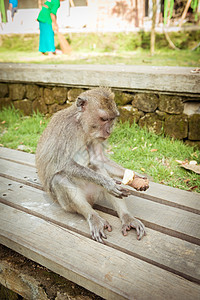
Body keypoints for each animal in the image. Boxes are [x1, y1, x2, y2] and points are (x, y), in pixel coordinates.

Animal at [35, 88, 148, 243]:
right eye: (104, 119)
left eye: (112, 119)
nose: (109, 131)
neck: (81, 125)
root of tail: (90, 200)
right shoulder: (67, 131)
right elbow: (64, 164)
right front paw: (108, 183)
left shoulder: (94, 136)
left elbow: (99, 160)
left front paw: (136, 177)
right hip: (65, 204)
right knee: (60, 179)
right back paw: (93, 216)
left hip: (95, 193)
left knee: (97, 167)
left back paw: (127, 217)